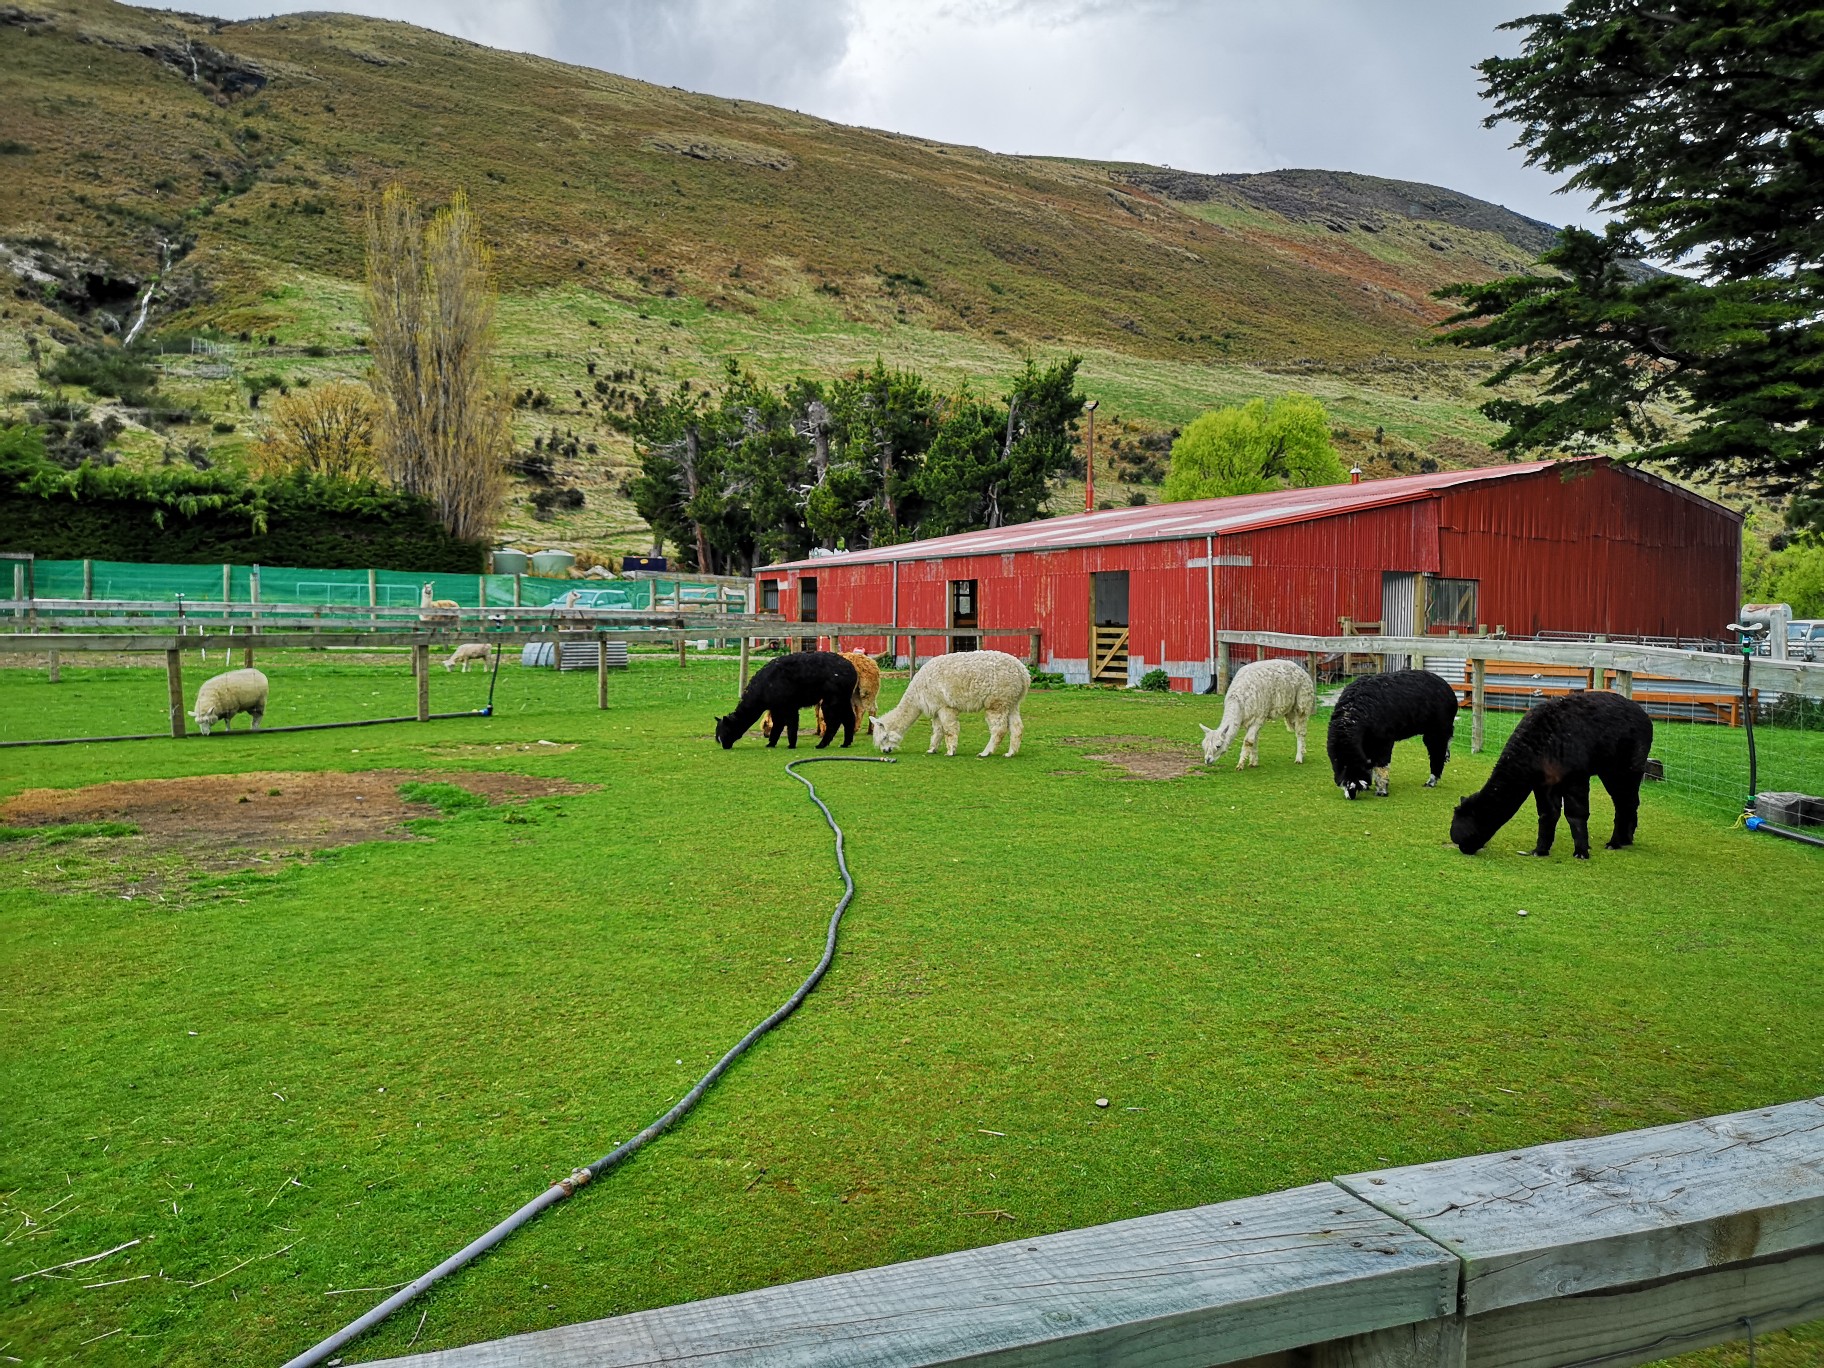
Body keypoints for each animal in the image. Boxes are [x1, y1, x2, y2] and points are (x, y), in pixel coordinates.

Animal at [715, 649, 857, 751]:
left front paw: (791, 745)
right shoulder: (777, 707)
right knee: (849, 717)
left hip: (832, 697)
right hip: (843, 697)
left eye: (726, 731)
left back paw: (821, 745)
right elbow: (778, 725)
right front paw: (771, 743)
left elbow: (790, 724)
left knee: (834, 721)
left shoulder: (788, 705)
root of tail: (851, 668)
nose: (724, 745)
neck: (764, 687)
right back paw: (845, 743)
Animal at [868, 649, 1028, 762]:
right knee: (1017, 727)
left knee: (999, 728)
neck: (917, 694)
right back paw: (1010, 753)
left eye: (884, 737)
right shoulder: (936, 707)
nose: (885, 751)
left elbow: (949, 729)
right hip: (1011, 702)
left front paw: (950, 751)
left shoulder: (945, 706)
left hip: (997, 700)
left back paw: (985, 752)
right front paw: (932, 749)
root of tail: (1023, 672)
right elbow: (938, 730)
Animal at [1320, 671, 1459, 798]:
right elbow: (1370, 762)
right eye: (1342, 767)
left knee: (1437, 752)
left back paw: (1430, 782)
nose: (1352, 793)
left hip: (1438, 728)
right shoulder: (1368, 742)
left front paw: (1381, 791)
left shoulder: (1383, 739)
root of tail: (1448, 688)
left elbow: (1381, 765)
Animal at [1451, 689, 1656, 860]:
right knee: (1627, 801)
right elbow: (1548, 814)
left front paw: (1581, 852)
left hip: (1625, 767)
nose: (1464, 848)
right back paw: (1626, 839)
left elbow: (1576, 814)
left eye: (1469, 831)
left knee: (1625, 802)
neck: (1539, 744)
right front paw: (1540, 850)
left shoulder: (1575, 776)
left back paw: (1615, 842)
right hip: (1611, 770)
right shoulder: (1545, 781)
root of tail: (1644, 715)